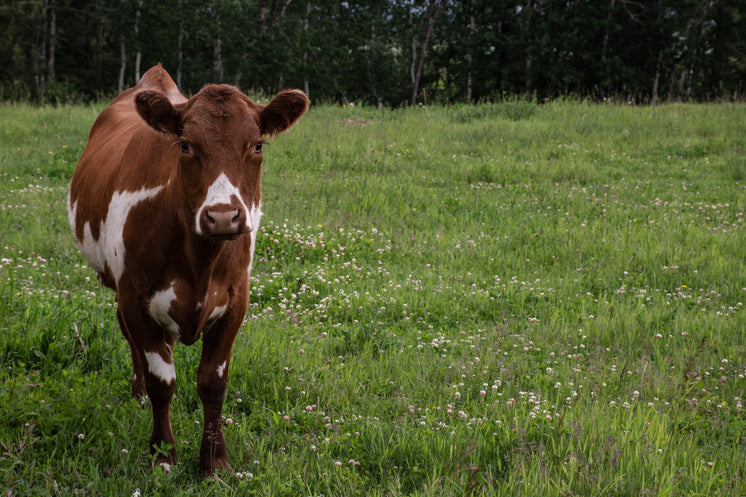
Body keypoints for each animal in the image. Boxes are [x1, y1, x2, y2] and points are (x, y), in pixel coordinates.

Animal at [65, 65, 306, 472]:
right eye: (185, 145)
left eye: (257, 145)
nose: (223, 215)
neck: (200, 260)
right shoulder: (135, 297)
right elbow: (162, 381)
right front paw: (162, 455)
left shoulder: (236, 301)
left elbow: (213, 383)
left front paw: (214, 462)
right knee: (131, 342)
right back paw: (138, 393)